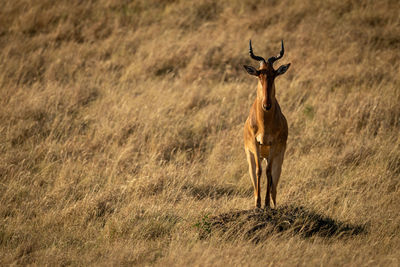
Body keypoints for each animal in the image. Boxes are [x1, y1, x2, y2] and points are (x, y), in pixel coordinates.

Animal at [244, 40, 290, 210]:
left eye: (274, 74)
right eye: (259, 74)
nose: (267, 105)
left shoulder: (274, 144)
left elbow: (268, 172)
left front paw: (266, 204)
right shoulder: (255, 143)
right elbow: (259, 171)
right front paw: (258, 204)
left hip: (278, 157)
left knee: (274, 184)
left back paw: (273, 203)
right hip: (251, 156)